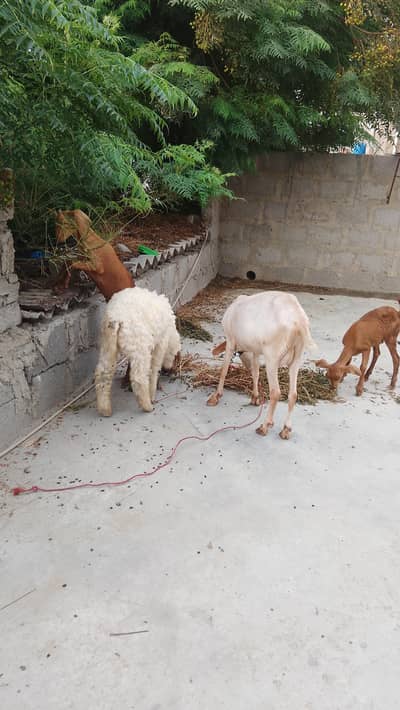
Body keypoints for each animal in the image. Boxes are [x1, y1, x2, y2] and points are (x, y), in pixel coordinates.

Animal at [95, 287, 181, 416]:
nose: (173, 371)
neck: (170, 330)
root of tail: (116, 318)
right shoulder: (161, 343)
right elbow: (154, 370)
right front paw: (152, 394)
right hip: (140, 347)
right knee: (139, 378)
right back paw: (147, 405)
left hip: (107, 344)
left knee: (103, 373)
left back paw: (105, 409)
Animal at [207, 291, 315, 440]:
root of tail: (298, 320)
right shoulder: (256, 351)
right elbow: (255, 372)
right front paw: (255, 397)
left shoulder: (230, 341)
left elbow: (224, 370)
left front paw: (216, 396)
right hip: (297, 358)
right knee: (293, 394)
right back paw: (286, 429)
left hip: (272, 358)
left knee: (275, 392)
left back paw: (265, 426)